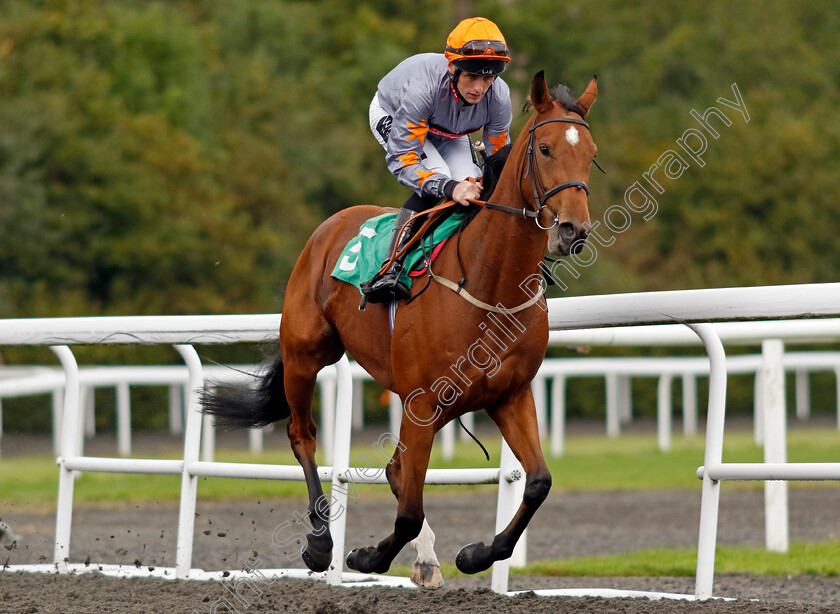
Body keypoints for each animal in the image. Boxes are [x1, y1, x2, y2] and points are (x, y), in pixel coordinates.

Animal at [203, 72, 596, 592]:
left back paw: (425, 560)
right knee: (302, 434)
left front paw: (476, 554)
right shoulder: (423, 400)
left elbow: (538, 483)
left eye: (591, 152)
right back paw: (321, 542)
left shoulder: (508, 395)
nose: (574, 229)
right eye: (546, 148)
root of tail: (330, 225)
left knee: (395, 468)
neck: (489, 284)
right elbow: (408, 512)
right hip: (307, 354)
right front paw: (365, 556)